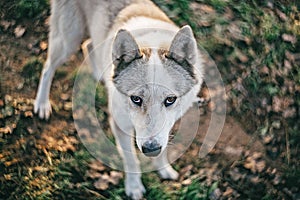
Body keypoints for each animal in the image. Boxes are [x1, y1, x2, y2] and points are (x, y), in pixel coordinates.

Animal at [34, 0, 204, 199]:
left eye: (170, 100)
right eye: (136, 99)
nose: (150, 148)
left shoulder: (166, 128)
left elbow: (163, 150)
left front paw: (164, 170)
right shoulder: (120, 126)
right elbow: (131, 160)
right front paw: (134, 188)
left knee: (88, 45)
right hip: (67, 42)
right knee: (48, 67)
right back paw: (42, 105)